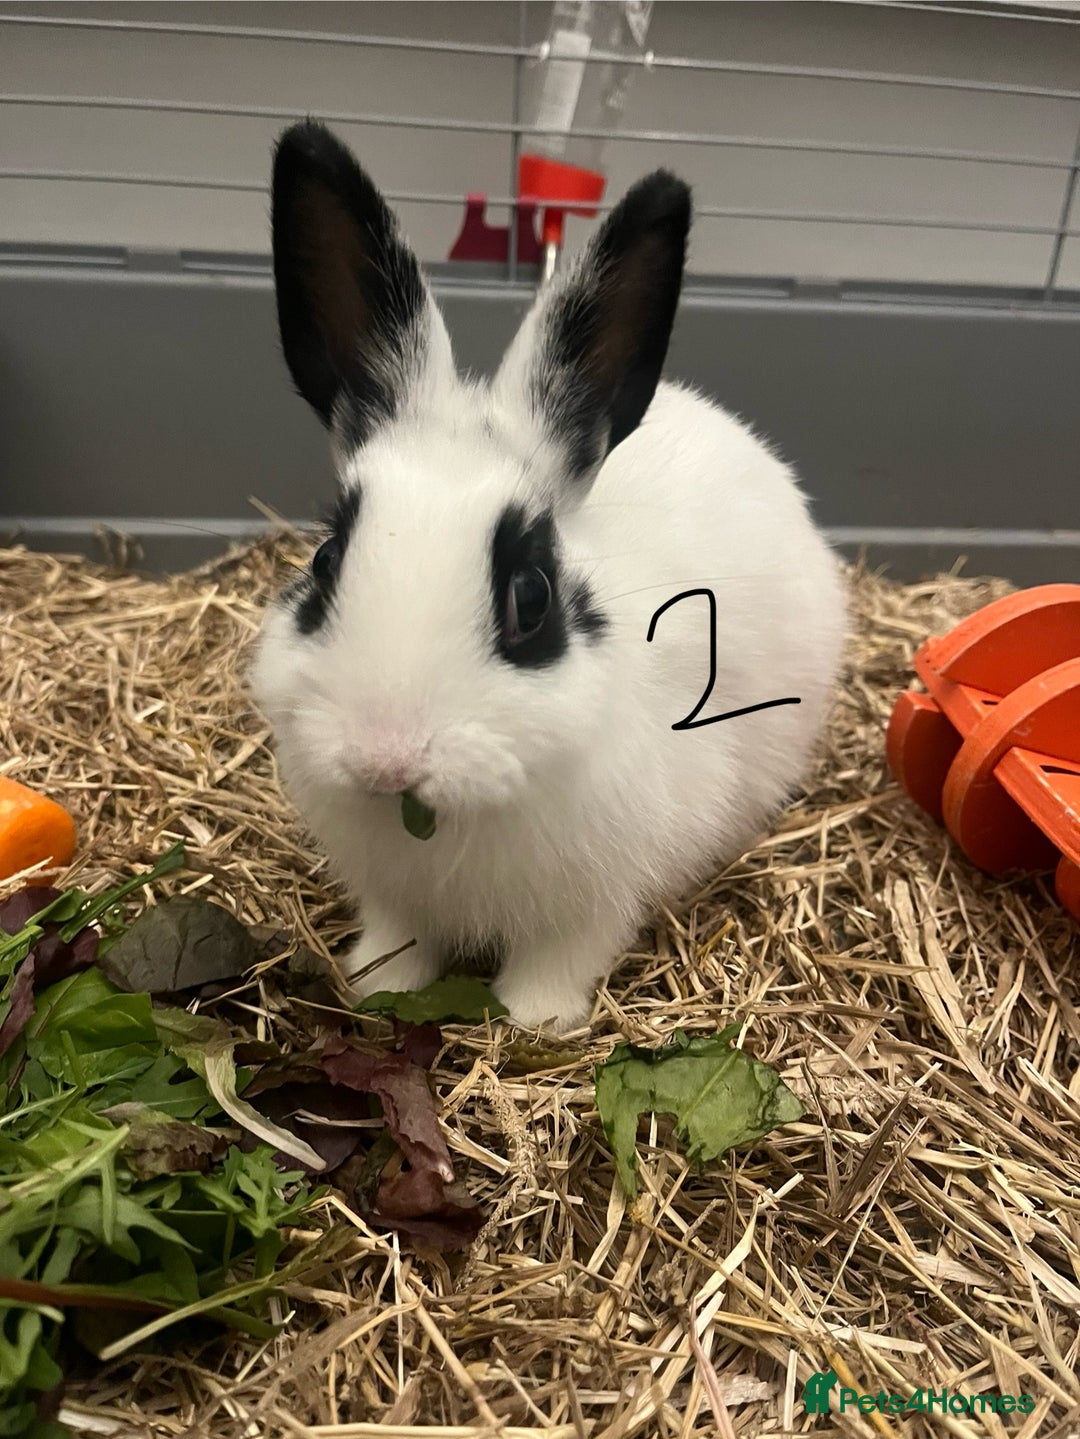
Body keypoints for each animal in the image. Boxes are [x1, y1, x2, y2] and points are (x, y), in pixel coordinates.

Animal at [250, 120, 846, 1035]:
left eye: (530, 598)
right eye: (323, 563)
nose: (386, 760)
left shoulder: (596, 902)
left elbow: (558, 959)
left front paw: (535, 1021)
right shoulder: (392, 896)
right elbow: (399, 940)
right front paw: (379, 985)